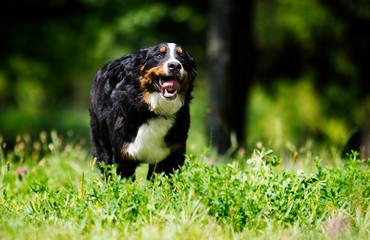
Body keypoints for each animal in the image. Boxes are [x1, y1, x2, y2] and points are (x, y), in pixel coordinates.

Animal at [89, 42, 197, 180]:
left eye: (182, 57)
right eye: (159, 55)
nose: (175, 66)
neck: (153, 110)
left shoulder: (174, 154)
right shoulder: (124, 155)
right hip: (102, 145)